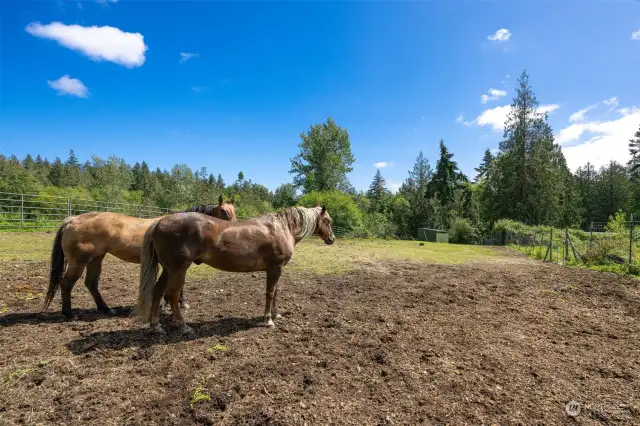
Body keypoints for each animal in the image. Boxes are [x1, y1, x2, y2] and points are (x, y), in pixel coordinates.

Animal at [43, 195, 238, 318]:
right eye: (224, 212)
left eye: (234, 210)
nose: (235, 230)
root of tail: (72, 220)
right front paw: (177, 303)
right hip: (79, 262)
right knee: (66, 284)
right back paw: (69, 313)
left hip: (96, 259)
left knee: (91, 283)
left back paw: (106, 309)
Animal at [135, 205, 336, 338]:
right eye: (327, 220)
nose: (331, 239)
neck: (281, 228)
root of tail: (159, 223)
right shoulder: (274, 268)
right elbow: (270, 293)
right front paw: (268, 319)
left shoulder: (277, 270)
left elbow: (276, 292)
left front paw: (276, 314)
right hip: (178, 270)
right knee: (172, 295)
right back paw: (184, 326)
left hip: (168, 269)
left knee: (158, 291)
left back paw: (156, 326)